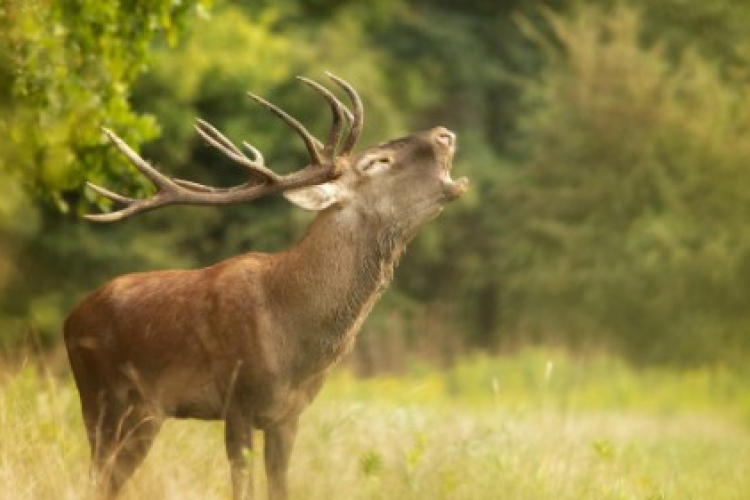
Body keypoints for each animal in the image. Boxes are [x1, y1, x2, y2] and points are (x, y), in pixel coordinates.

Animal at [66, 71, 470, 500]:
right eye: (378, 161)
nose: (444, 134)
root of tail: (71, 318)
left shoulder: (288, 416)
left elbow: (280, 486)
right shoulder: (237, 401)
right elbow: (242, 487)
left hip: (148, 412)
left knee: (112, 478)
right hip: (98, 393)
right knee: (96, 474)